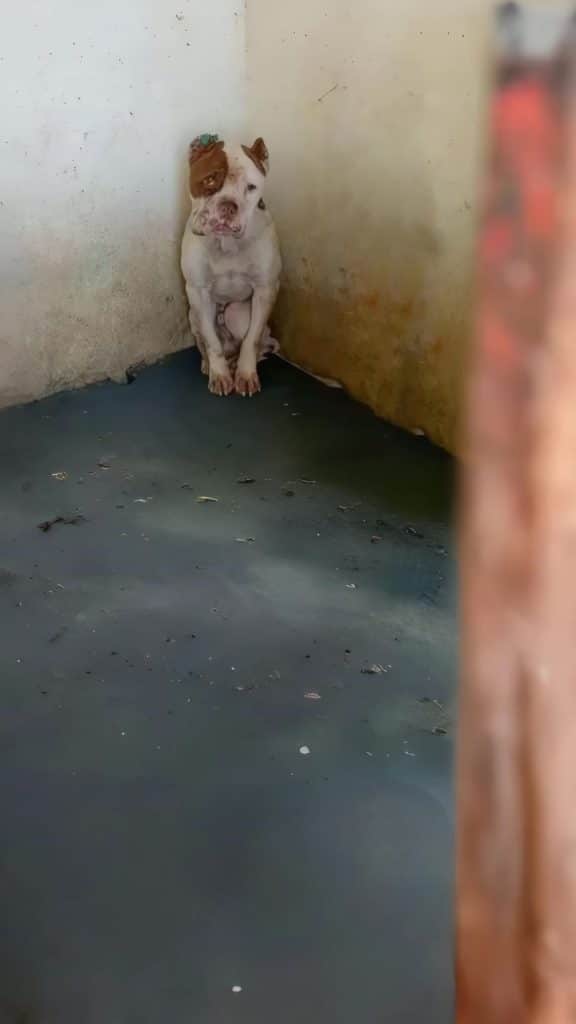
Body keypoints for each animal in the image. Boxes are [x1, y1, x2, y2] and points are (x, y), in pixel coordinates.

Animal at [180, 134, 282, 397]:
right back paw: (210, 364)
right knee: (208, 342)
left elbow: (252, 339)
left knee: (257, 343)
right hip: (193, 314)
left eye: (251, 187)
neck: (227, 244)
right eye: (210, 179)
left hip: (237, 313)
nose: (228, 206)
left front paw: (245, 375)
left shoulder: (265, 289)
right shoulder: (197, 292)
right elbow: (211, 342)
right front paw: (219, 374)